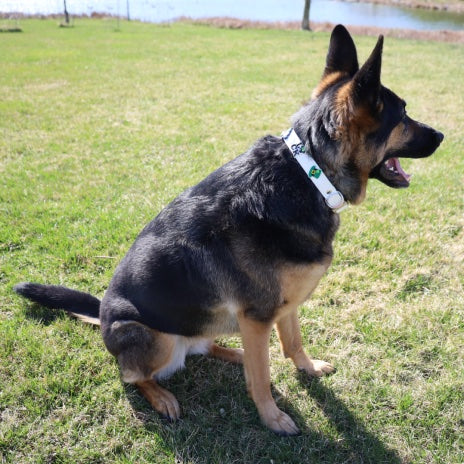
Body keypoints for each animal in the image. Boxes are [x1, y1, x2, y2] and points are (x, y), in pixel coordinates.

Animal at [13, 26, 442, 436]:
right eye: (403, 115)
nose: (442, 136)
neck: (310, 174)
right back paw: (163, 395)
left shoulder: (282, 307)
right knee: (133, 376)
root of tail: (102, 314)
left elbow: (292, 343)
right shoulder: (258, 315)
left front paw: (306, 368)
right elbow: (262, 380)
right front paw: (273, 419)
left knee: (209, 348)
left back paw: (233, 353)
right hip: (152, 336)